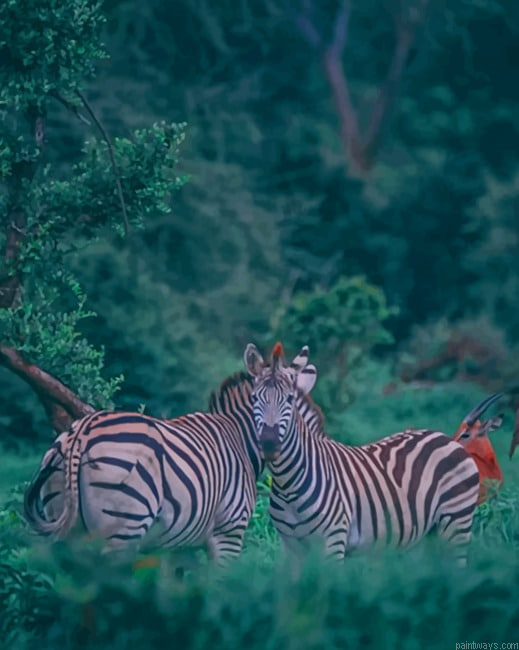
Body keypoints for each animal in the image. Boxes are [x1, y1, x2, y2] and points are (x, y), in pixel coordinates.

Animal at [23, 371, 323, 568]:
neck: (240, 437)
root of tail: (83, 430)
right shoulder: (229, 531)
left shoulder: (181, 544)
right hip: (122, 530)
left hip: (67, 527)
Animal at [243, 341, 493, 566]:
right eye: (254, 398)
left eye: (289, 399)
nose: (269, 444)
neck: (288, 483)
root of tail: (446, 438)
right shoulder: (291, 547)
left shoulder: (333, 541)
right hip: (427, 535)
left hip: (457, 523)